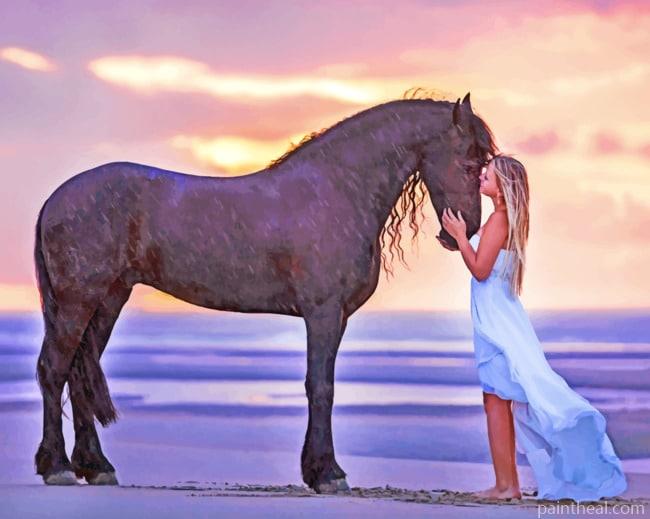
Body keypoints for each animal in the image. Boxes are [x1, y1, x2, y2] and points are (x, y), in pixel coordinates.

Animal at [33, 91, 497, 492]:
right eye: (469, 162)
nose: (464, 231)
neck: (337, 190)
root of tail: (55, 200)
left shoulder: (337, 316)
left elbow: (322, 385)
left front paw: (317, 470)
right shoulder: (323, 313)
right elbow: (320, 386)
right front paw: (327, 473)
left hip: (108, 300)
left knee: (79, 374)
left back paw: (96, 467)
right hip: (79, 301)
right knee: (54, 369)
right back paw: (57, 467)